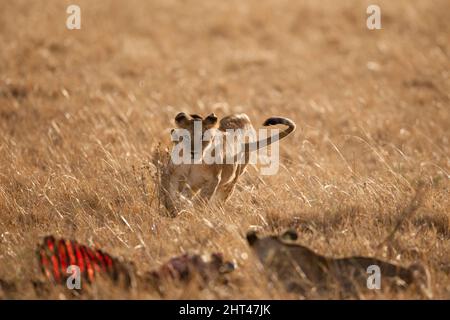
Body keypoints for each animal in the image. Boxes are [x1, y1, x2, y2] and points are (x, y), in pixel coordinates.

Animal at [161, 111, 296, 216]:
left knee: (219, 201)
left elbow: (201, 201)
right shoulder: (172, 174)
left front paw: (192, 214)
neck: (193, 163)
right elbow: (168, 194)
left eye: (203, 137)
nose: (193, 152)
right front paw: (173, 211)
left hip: (231, 182)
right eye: (186, 136)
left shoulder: (214, 180)